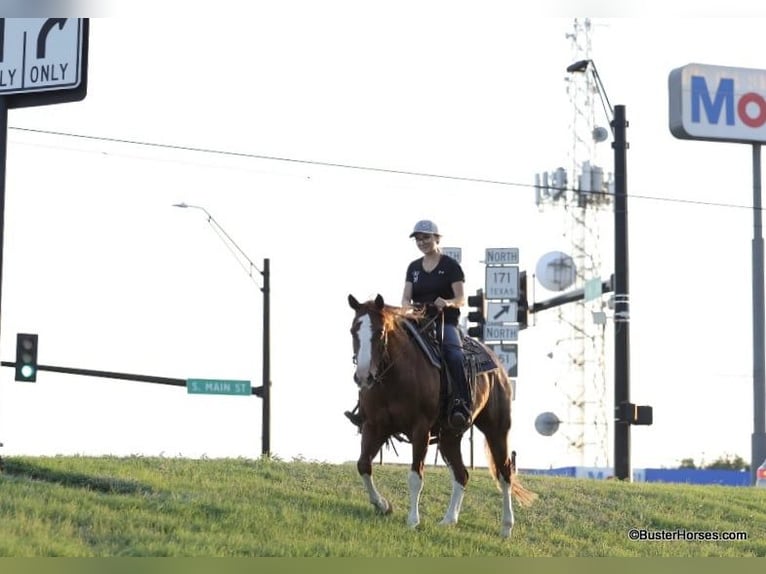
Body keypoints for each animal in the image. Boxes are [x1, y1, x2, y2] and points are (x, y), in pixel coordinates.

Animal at [347, 293, 536, 538]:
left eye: (380, 332)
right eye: (353, 330)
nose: (363, 376)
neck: (395, 377)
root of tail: (498, 366)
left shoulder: (420, 430)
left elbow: (415, 476)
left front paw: (412, 520)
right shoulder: (374, 426)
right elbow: (363, 465)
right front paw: (383, 506)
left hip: (497, 429)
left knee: (504, 473)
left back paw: (506, 527)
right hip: (449, 437)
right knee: (462, 474)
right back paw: (449, 520)